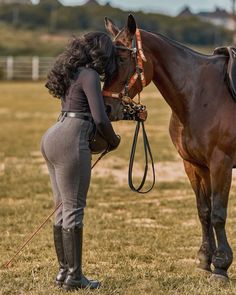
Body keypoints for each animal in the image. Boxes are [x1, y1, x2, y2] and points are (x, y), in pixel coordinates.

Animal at [103, 14, 236, 282]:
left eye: (122, 58)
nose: (108, 108)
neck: (200, 95)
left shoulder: (221, 163)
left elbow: (218, 213)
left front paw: (221, 267)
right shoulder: (194, 165)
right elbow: (204, 211)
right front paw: (204, 260)